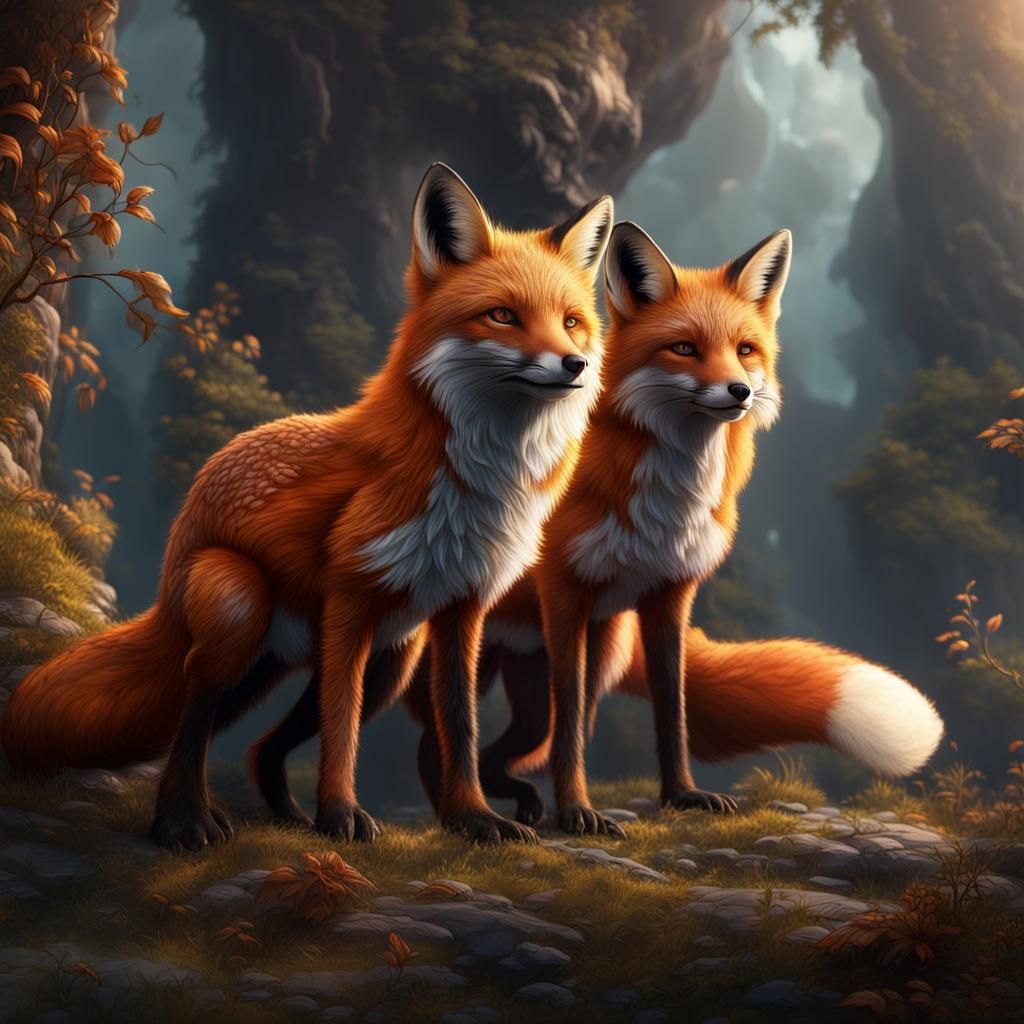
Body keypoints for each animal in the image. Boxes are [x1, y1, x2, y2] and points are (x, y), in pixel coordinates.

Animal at [1, 163, 615, 850]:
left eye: (570, 322)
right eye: (503, 315)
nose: (575, 364)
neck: (475, 485)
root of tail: (181, 532)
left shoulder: (461, 611)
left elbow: (459, 725)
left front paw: (472, 819)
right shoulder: (350, 600)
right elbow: (343, 728)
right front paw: (342, 816)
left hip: (380, 656)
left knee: (254, 744)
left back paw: (283, 816)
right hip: (242, 609)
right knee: (195, 714)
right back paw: (185, 821)